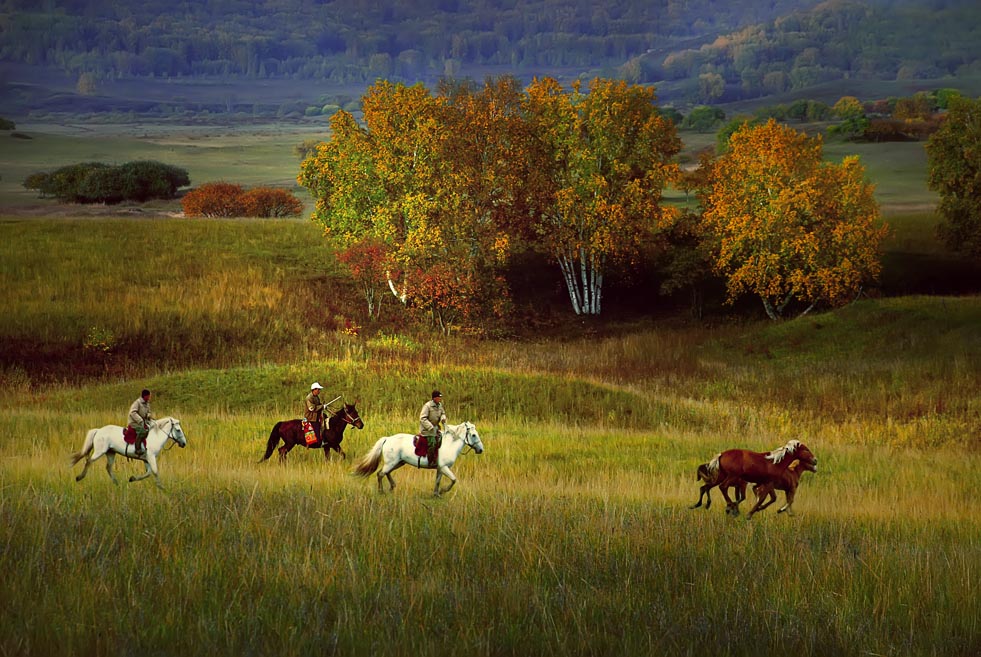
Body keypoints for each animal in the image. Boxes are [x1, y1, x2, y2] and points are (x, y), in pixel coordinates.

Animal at [356, 422, 486, 494]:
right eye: (474, 435)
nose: (480, 450)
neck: (449, 445)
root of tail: (387, 438)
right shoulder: (444, 467)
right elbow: (454, 479)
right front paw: (443, 491)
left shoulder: (440, 469)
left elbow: (438, 481)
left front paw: (436, 494)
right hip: (391, 463)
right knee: (380, 474)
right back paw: (381, 491)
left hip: (398, 462)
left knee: (385, 473)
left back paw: (392, 487)